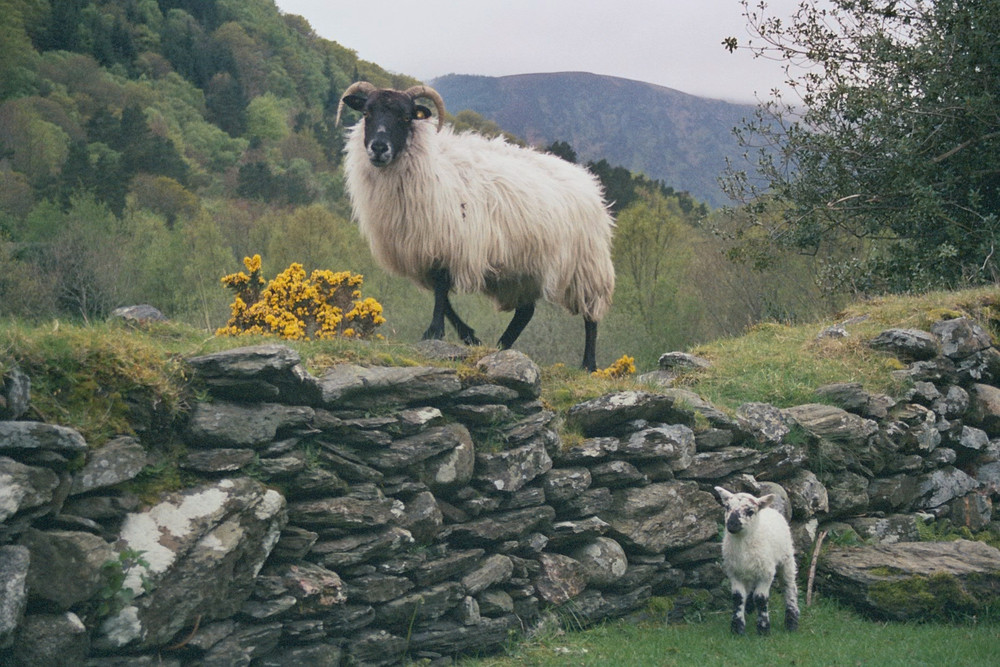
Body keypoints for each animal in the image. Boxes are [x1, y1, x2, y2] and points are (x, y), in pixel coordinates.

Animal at [338, 81, 616, 374]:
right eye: (367, 112)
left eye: (405, 117)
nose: (379, 148)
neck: (431, 163)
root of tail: (589, 182)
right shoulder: (426, 249)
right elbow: (444, 297)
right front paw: (469, 336)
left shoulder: (450, 240)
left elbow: (441, 289)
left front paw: (434, 331)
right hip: (524, 269)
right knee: (525, 312)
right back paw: (502, 346)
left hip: (586, 265)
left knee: (590, 315)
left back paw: (588, 364)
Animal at [716, 486, 800, 636]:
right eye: (727, 507)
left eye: (750, 511)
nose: (732, 524)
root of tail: (770, 509)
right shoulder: (734, 572)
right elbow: (738, 597)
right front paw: (737, 628)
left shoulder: (766, 573)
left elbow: (761, 598)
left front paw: (763, 629)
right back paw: (749, 608)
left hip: (786, 558)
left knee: (789, 586)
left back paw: (792, 622)